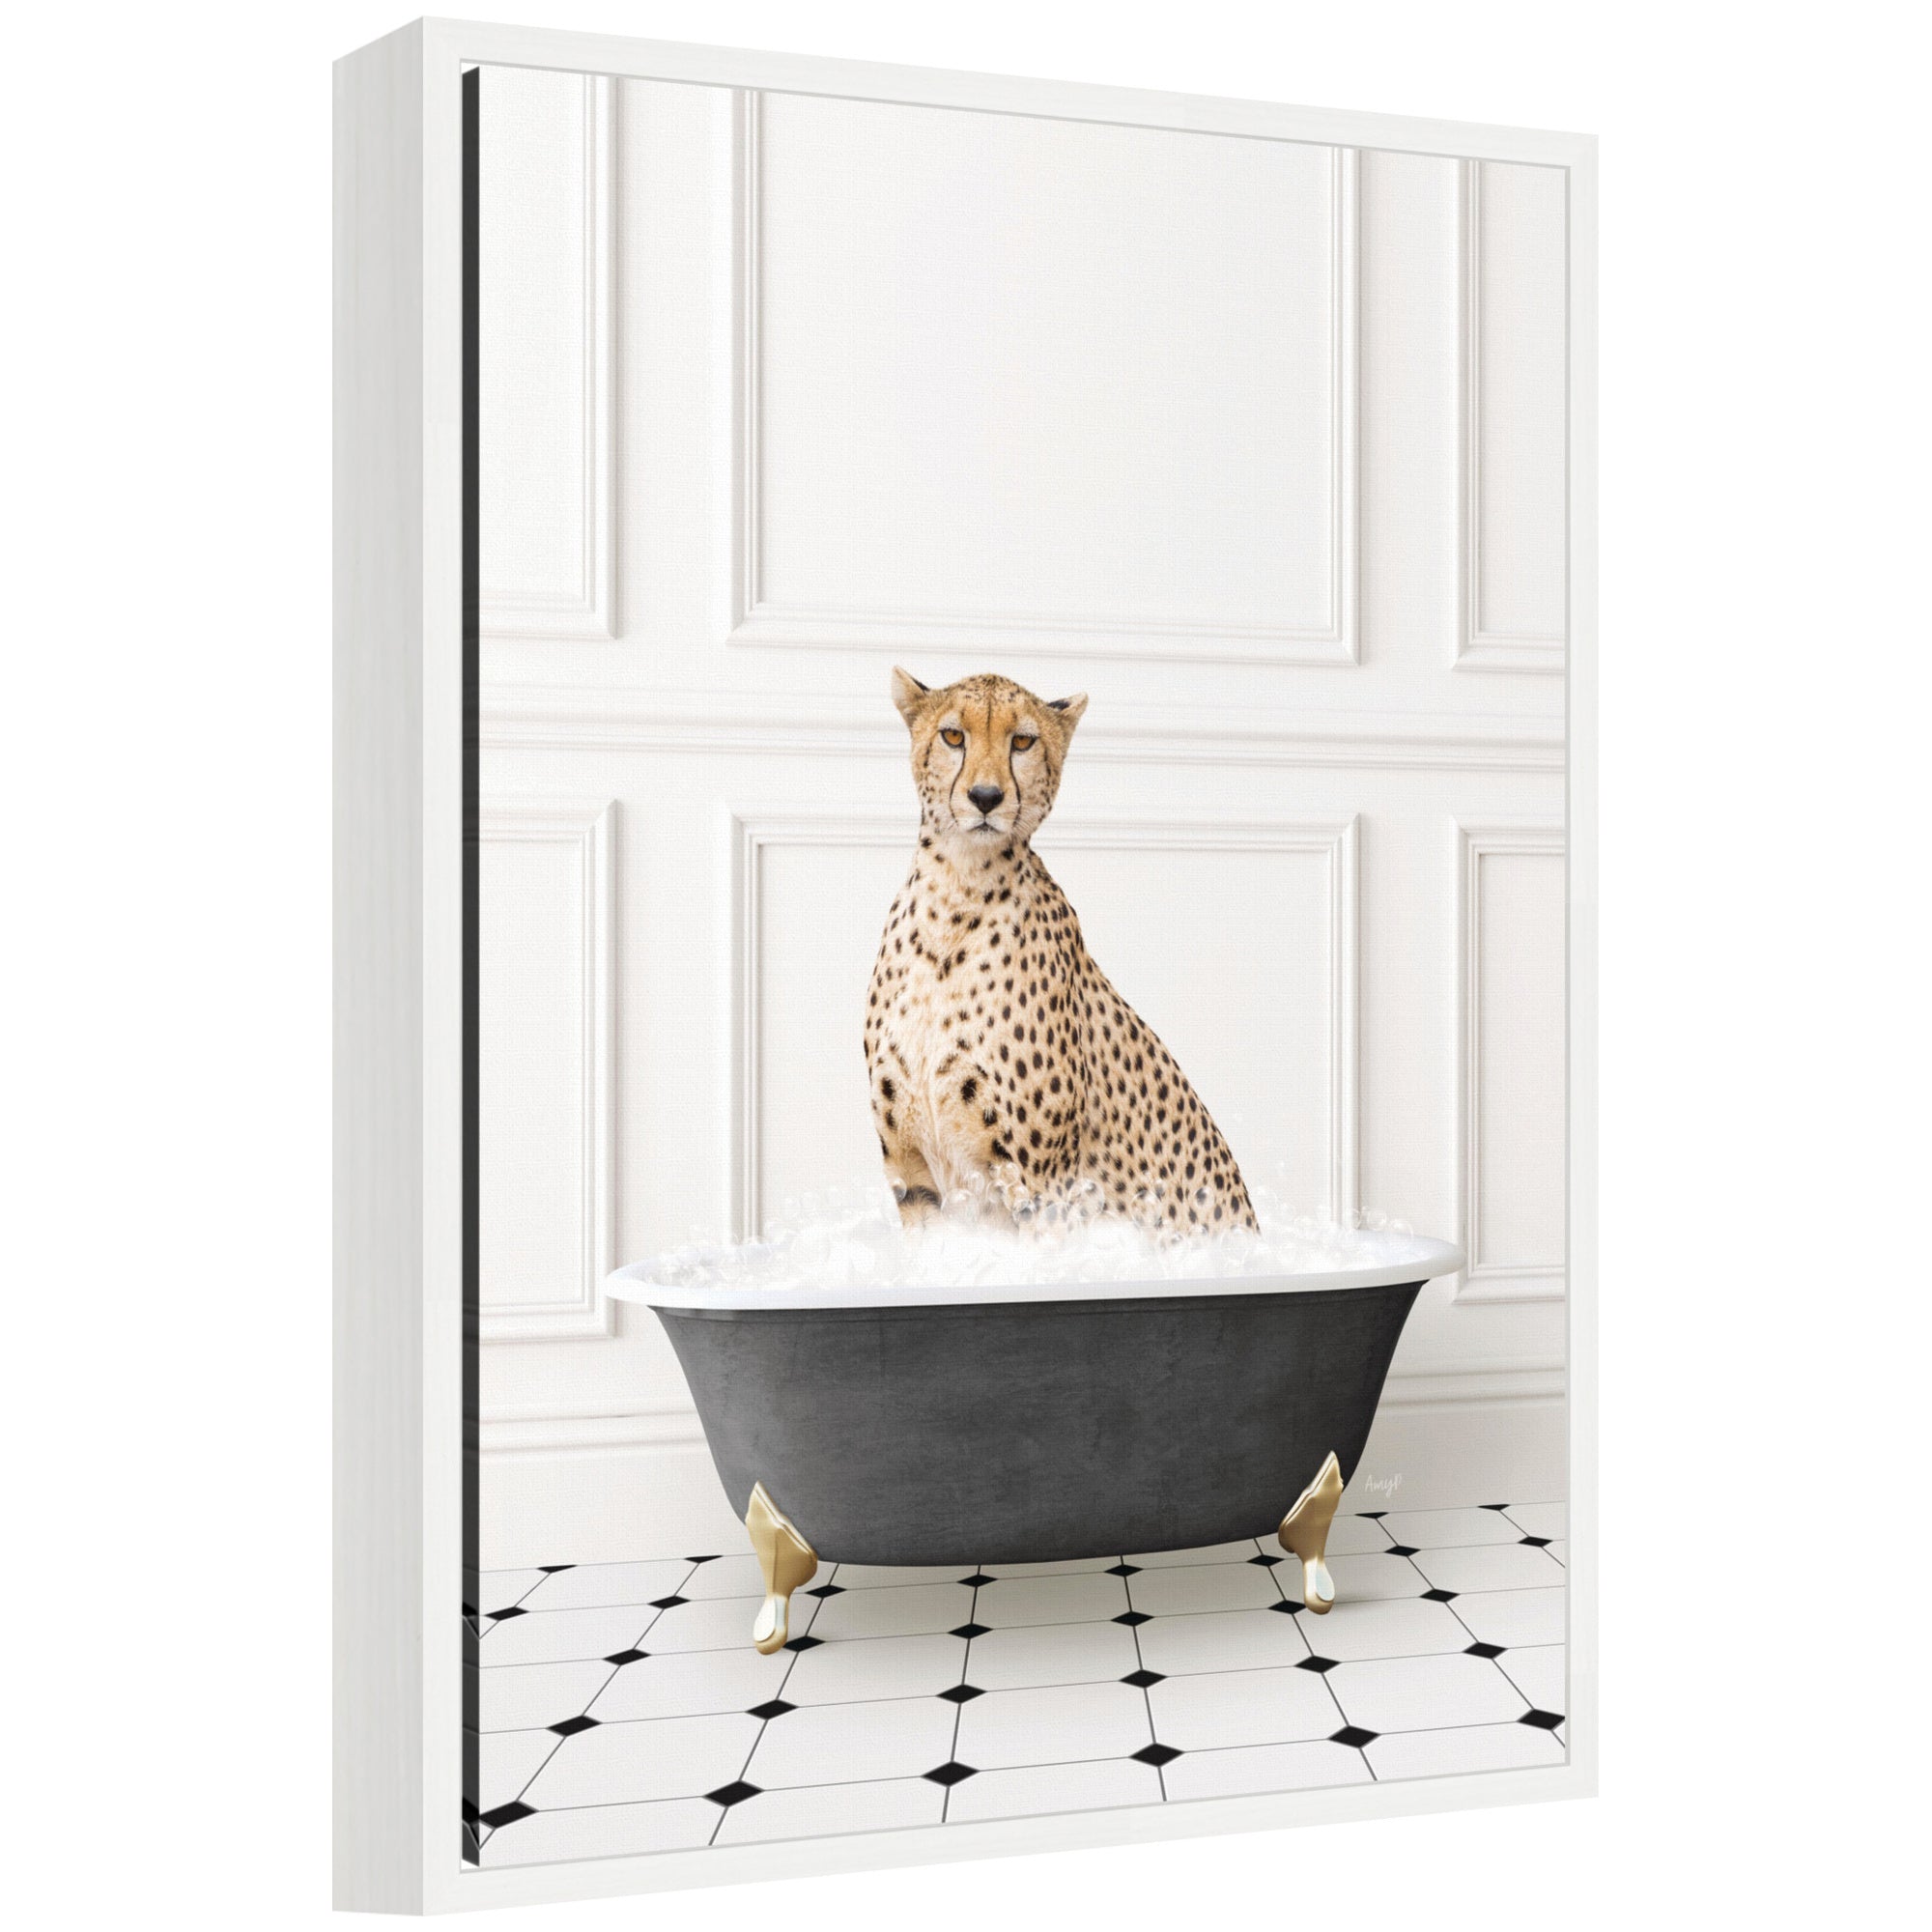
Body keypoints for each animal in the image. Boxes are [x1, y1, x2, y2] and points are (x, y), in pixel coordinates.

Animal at [864, 667, 1258, 1238]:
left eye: (1023, 741)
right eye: (953, 736)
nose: (985, 797)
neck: (957, 890)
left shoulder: (1042, 1187)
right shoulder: (912, 1175)